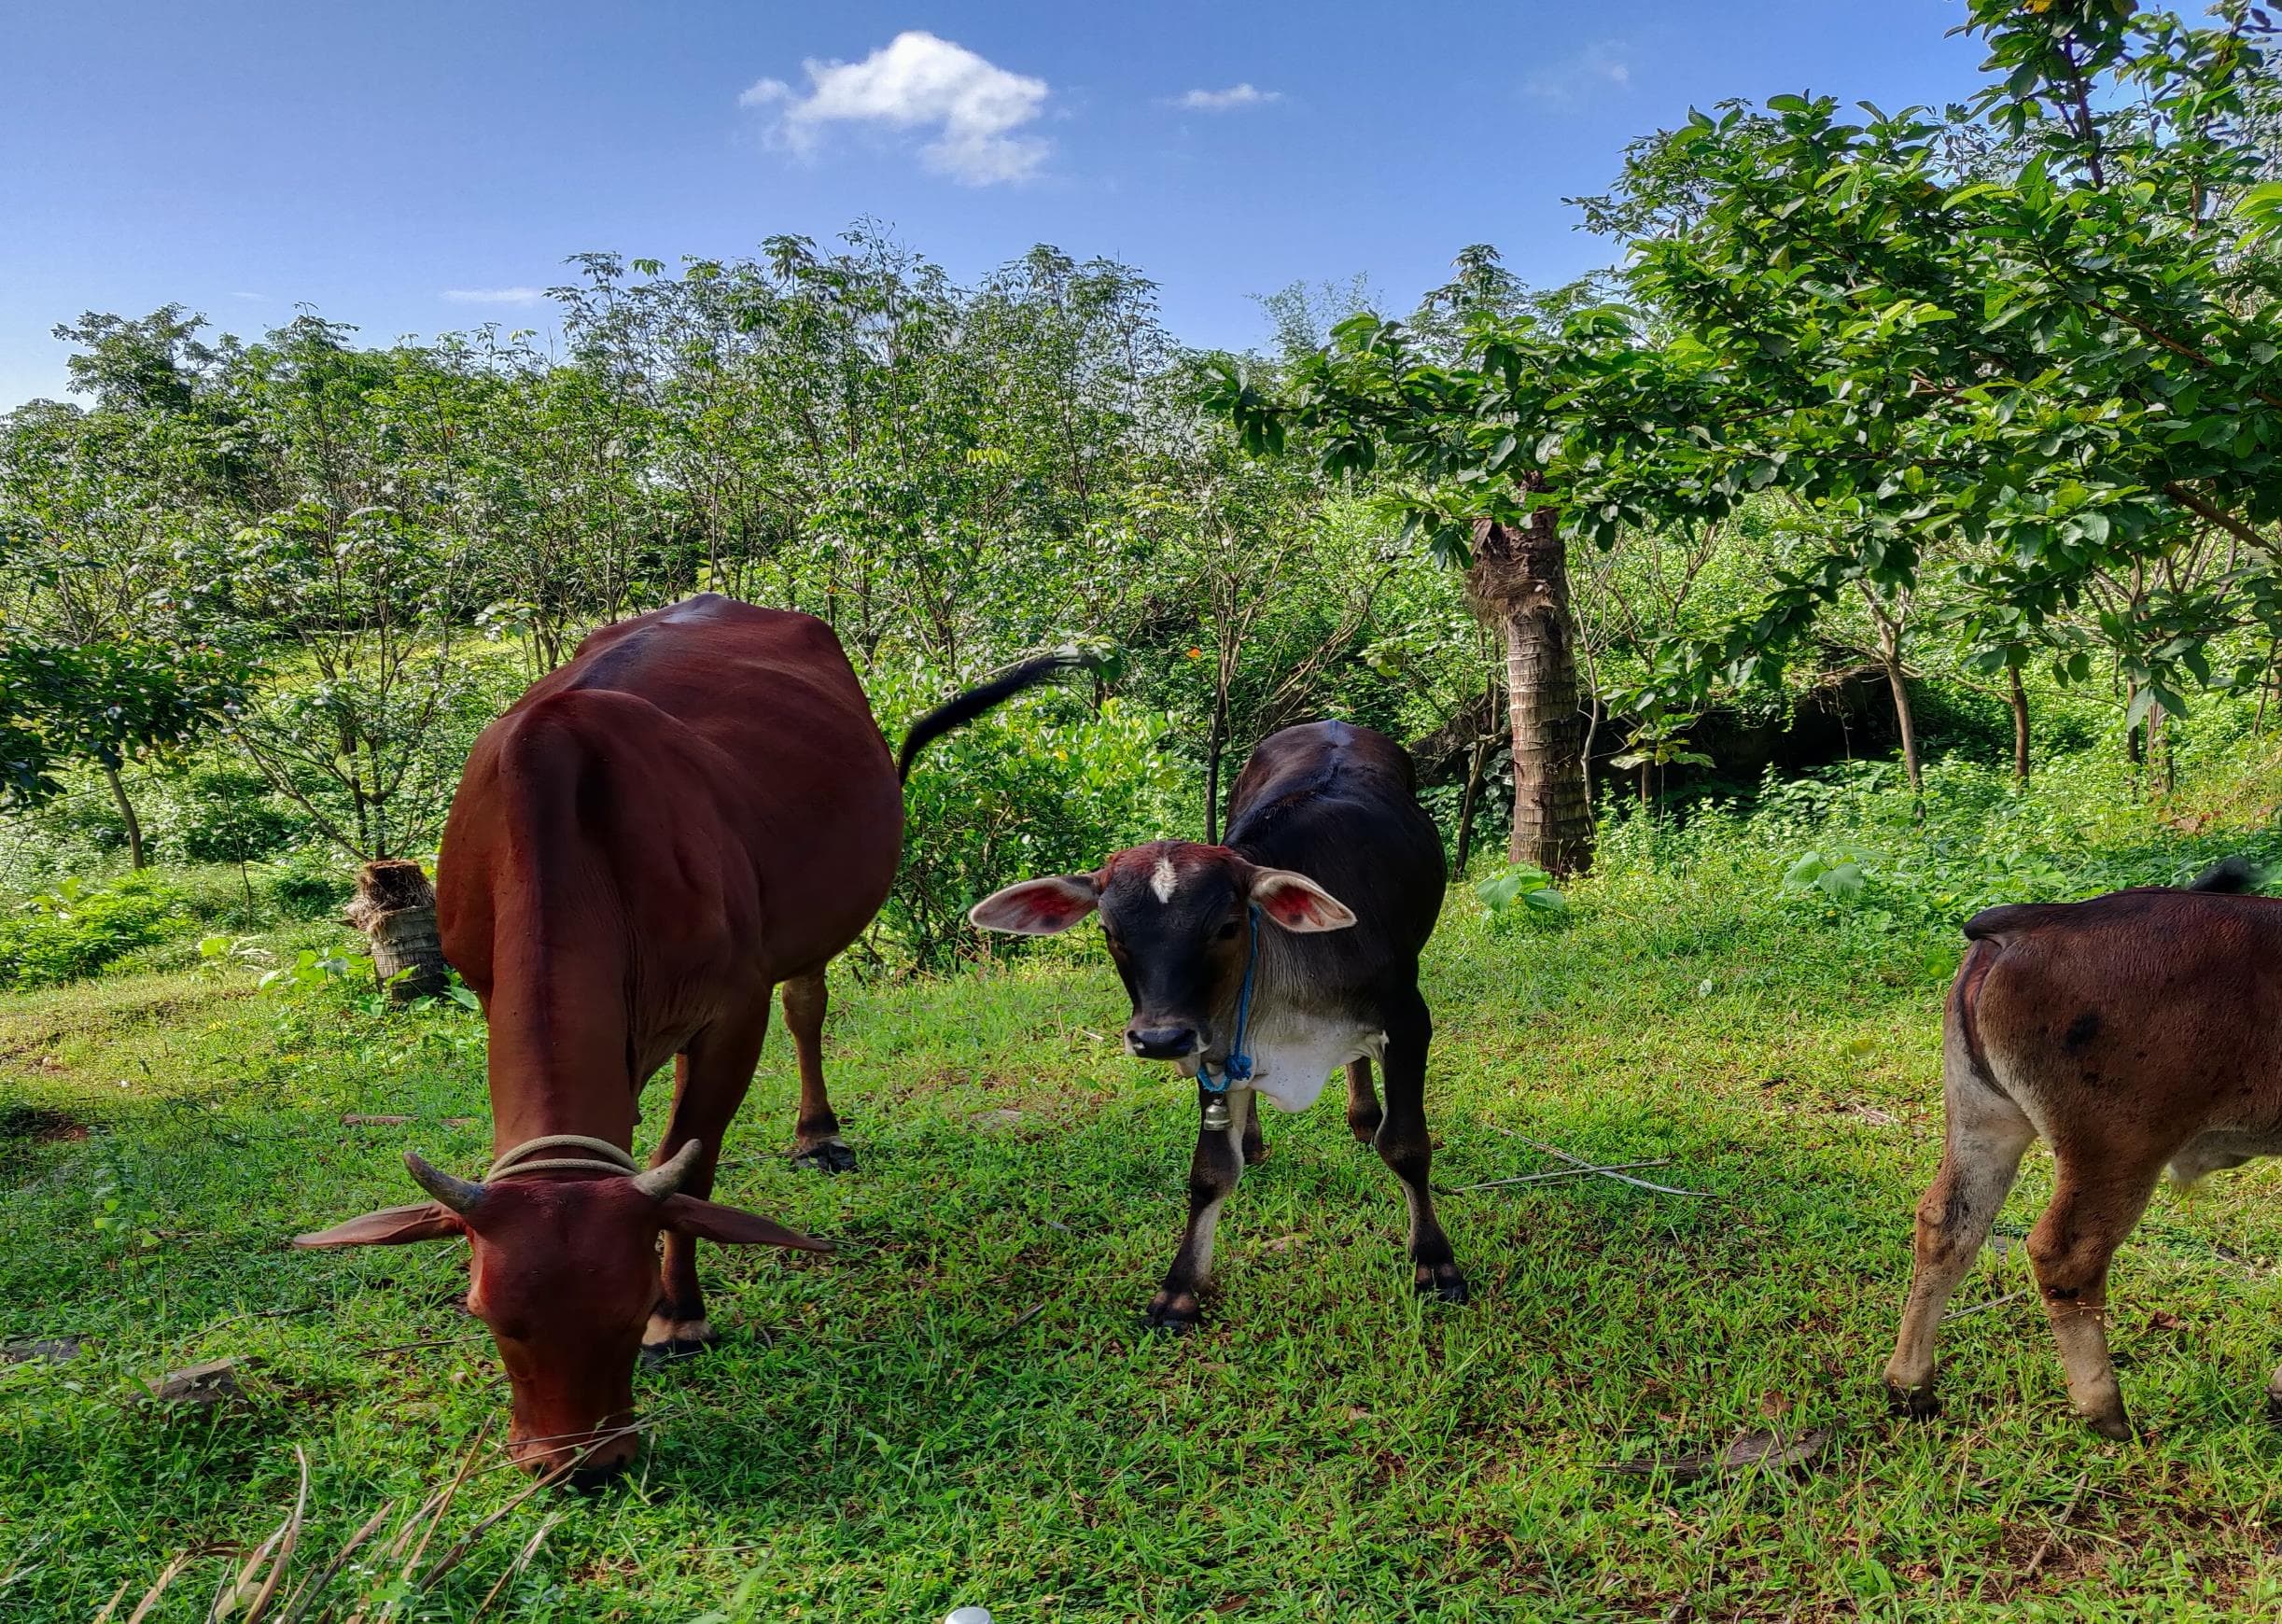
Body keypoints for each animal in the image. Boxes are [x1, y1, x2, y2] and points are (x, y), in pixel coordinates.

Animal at [293, 595, 1074, 1479]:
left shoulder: (734, 1008)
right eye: (481, 1310)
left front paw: (685, 1314)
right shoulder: (495, 990)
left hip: (811, 923)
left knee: (807, 1003)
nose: (580, 1467)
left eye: (635, 1305)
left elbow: (691, 1166)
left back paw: (818, 1135)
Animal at [969, 720, 1464, 1329]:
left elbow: (1407, 1146)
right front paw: (1180, 1286)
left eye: (1228, 925)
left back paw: (1363, 1117)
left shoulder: (1409, 1022)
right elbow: (1210, 1172)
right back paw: (1255, 1135)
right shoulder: (1209, 1044)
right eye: (1110, 931)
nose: (1158, 1038)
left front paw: (1435, 1262)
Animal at [1884, 857, 2277, 1438]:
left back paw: (1911, 1387)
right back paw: (2106, 1409)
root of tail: (2041, 920)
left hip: (1983, 1119)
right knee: (2067, 1258)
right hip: (2119, 1147)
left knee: (1948, 1224)